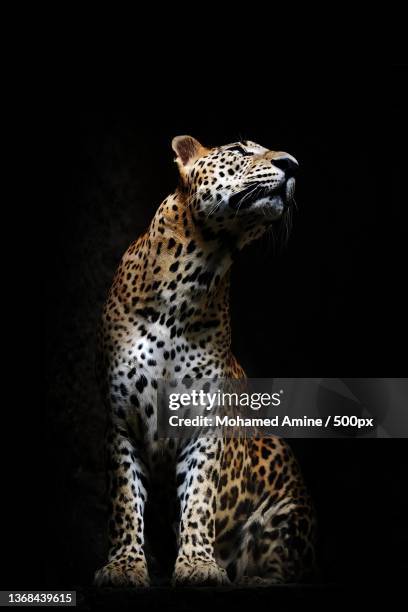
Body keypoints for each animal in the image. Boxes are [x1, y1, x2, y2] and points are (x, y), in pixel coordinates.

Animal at [95, 135, 316, 588]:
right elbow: (125, 501)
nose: (293, 164)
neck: (196, 271)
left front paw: (198, 564)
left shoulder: (206, 424)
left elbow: (199, 497)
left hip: (283, 488)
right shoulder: (121, 422)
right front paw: (125, 566)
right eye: (240, 150)